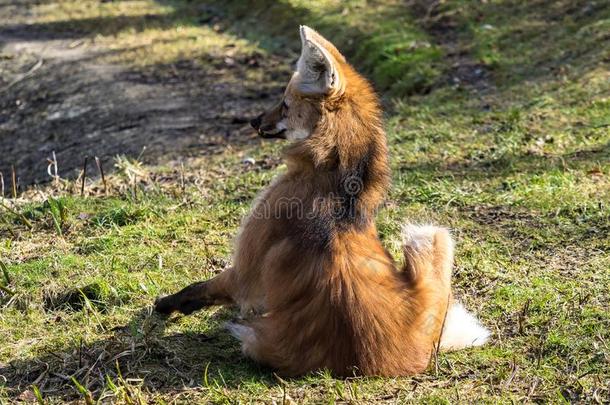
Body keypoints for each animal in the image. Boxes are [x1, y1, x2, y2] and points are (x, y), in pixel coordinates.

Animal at [154, 25, 486, 374]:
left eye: (285, 104)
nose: (254, 121)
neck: (335, 172)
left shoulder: (245, 271)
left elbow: (202, 287)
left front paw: (165, 305)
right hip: (439, 239)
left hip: (425, 235)